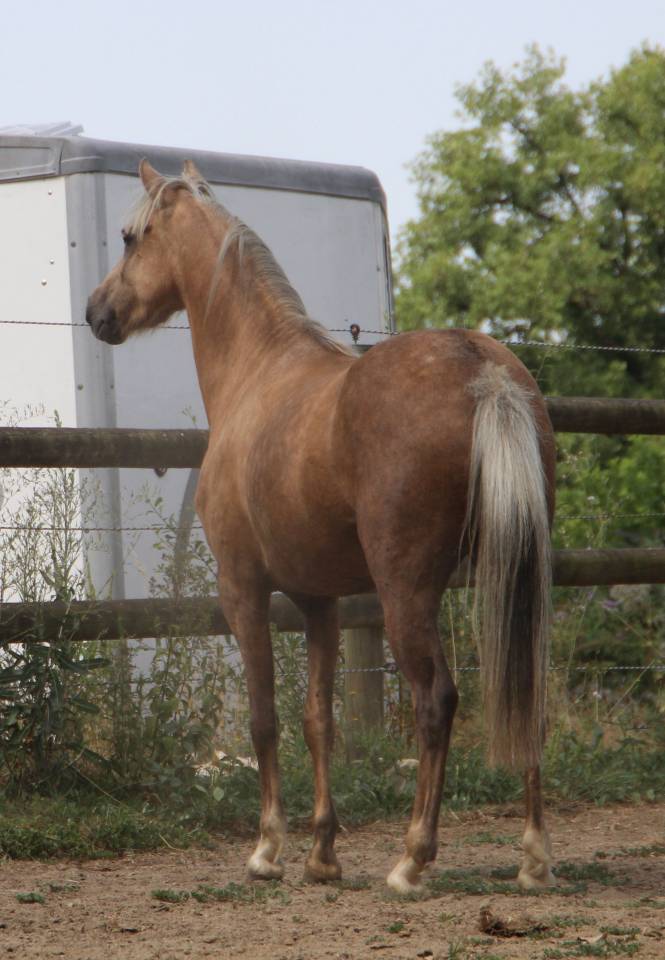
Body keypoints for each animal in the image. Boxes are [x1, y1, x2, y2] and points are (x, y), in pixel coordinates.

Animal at [86, 159, 556, 894]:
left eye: (133, 237)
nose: (97, 313)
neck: (259, 371)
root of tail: (482, 366)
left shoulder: (243, 589)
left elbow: (264, 718)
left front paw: (268, 849)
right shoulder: (319, 601)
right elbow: (318, 719)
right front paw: (322, 853)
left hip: (406, 592)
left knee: (436, 700)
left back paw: (412, 858)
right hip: (520, 578)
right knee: (525, 690)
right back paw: (532, 856)